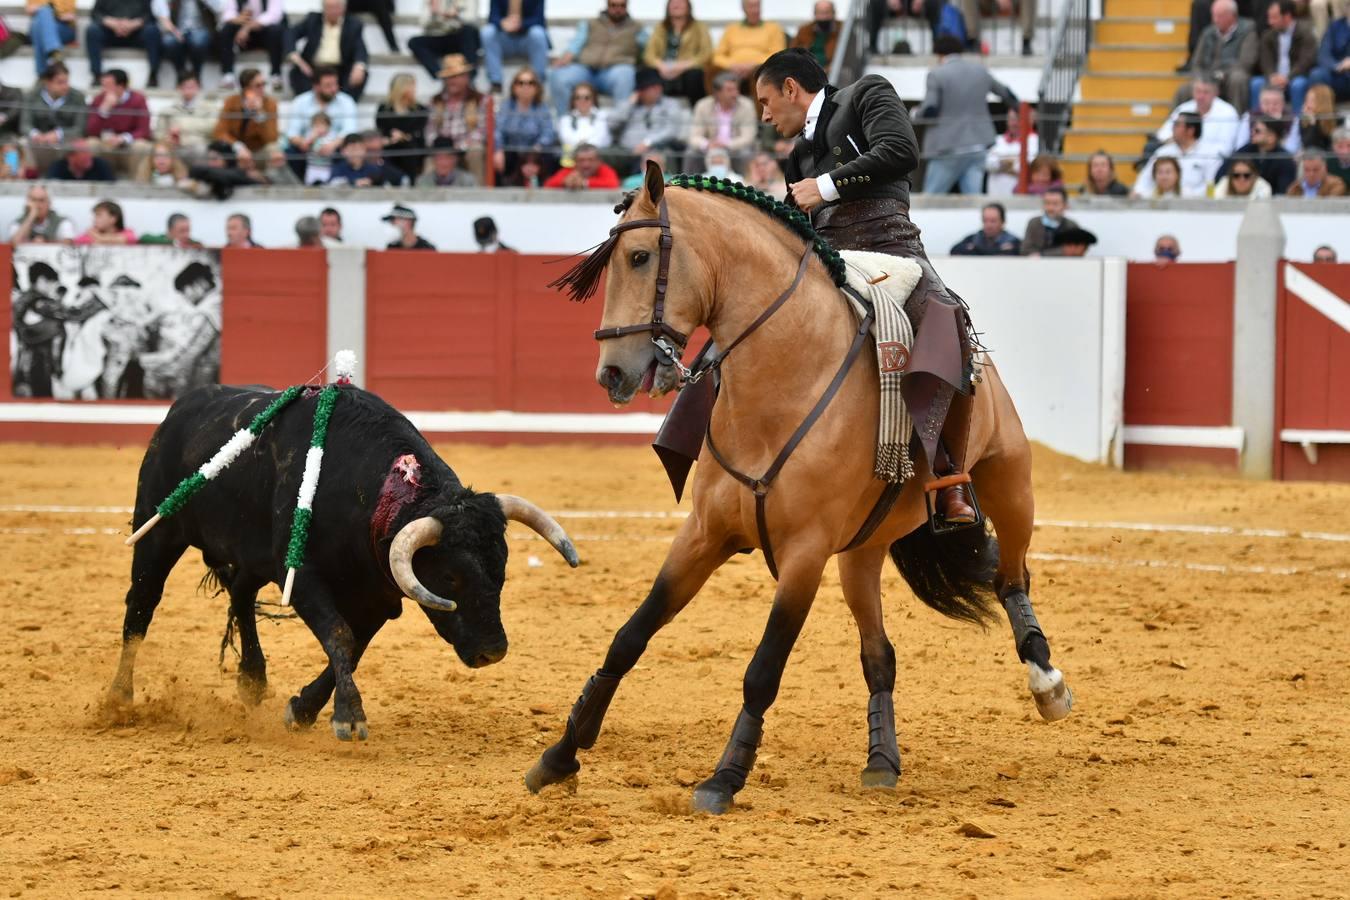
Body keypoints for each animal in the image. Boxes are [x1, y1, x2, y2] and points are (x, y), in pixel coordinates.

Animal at [112, 383, 580, 744]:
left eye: (502, 566)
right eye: (450, 576)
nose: (492, 651)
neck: (367, 491)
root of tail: (182, 407)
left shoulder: (378, 596)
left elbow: (352, 647)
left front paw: (302, 709)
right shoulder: (301, 578)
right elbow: (338, 634)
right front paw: (348, 717)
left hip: (251, 554)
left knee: (241, 595)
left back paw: (252, 679)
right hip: (157, 532)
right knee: (141, 605)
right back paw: (118, 700)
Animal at [526, 163, 1074, 814]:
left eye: (638, 257)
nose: (611, 373)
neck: (782, 377)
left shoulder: (804, 555)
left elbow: (763, 668)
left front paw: (722, 779)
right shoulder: (703, 535)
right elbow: (629, 637)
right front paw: (560, 755)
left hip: (1010, 484)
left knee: (1010, 576)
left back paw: (1047, 682)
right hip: (862, 554)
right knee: (880, 655)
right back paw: (882, 761)